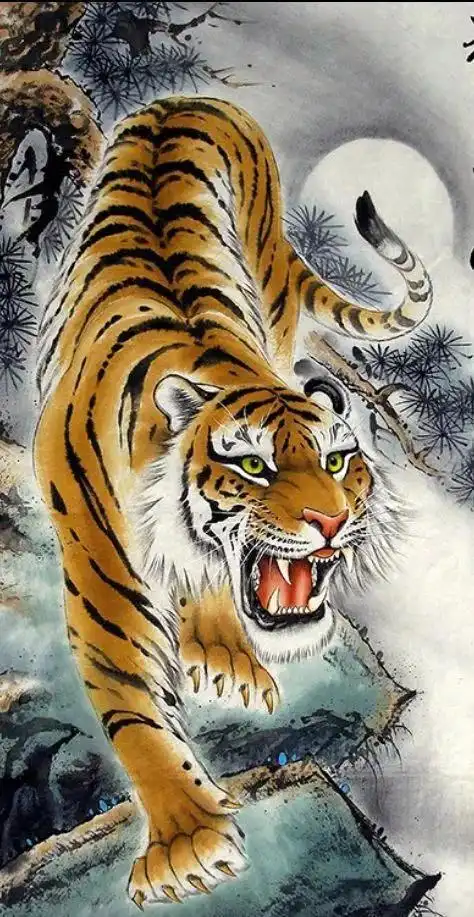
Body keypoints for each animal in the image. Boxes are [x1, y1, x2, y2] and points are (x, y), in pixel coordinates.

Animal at [34, 96, 432, 907]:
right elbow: (138, 714)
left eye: (338, 460)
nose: (332, 520)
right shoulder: (103, 588)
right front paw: (187, 842)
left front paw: (223, 659)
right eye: (252, 464)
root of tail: (185, 99)